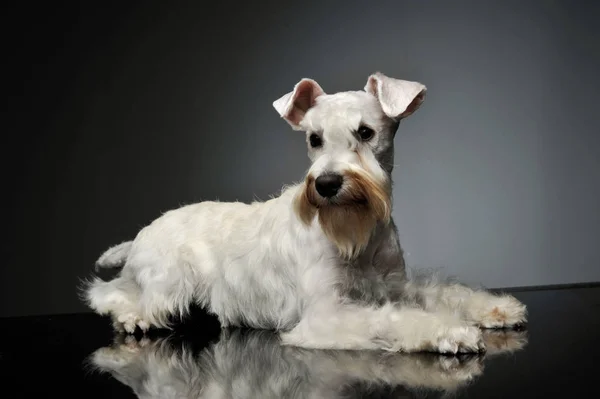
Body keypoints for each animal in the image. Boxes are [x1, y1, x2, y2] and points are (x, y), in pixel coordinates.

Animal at [79, 71, 524, 354]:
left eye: (366, 132)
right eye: (314, 139)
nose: (326, 184)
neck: (359, 237)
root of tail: (141, 234)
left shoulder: (395, 287)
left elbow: (441, 292)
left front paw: (496, 309)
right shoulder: (328, 314)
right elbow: (392, 319)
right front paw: (451, 331)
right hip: (168, 283)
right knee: (111, 293)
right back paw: (130, 317)